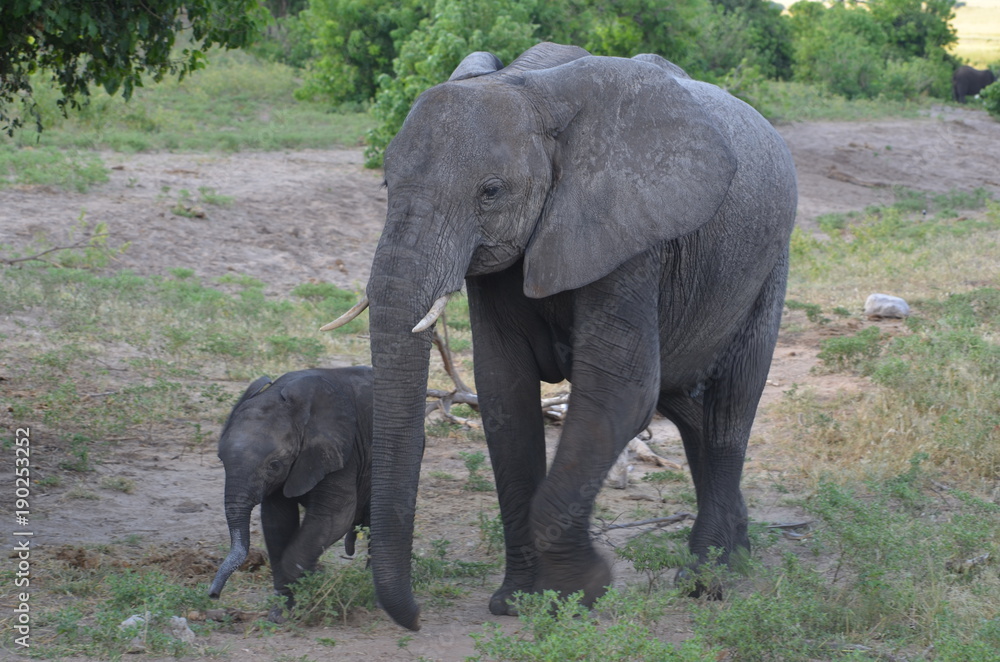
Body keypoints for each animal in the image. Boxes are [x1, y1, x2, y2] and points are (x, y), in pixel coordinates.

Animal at [207, 367, 373, 622]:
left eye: (274, 465)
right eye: (220, 459)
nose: (213, 595)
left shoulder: (343, 450)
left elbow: (335, 517)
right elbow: (277, 521)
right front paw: (281, 612)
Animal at [323, 42, 798, 631]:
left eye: (491, 192)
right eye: (387, 185)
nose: (414, 619)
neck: (529, 89)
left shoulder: (629, 233)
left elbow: (618, 391)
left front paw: (583, 591)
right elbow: (504, 393)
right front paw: (517, 602)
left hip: (770, 261)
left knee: (732, 405)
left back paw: (706, 579)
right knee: (689, 411)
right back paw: (737, 551)